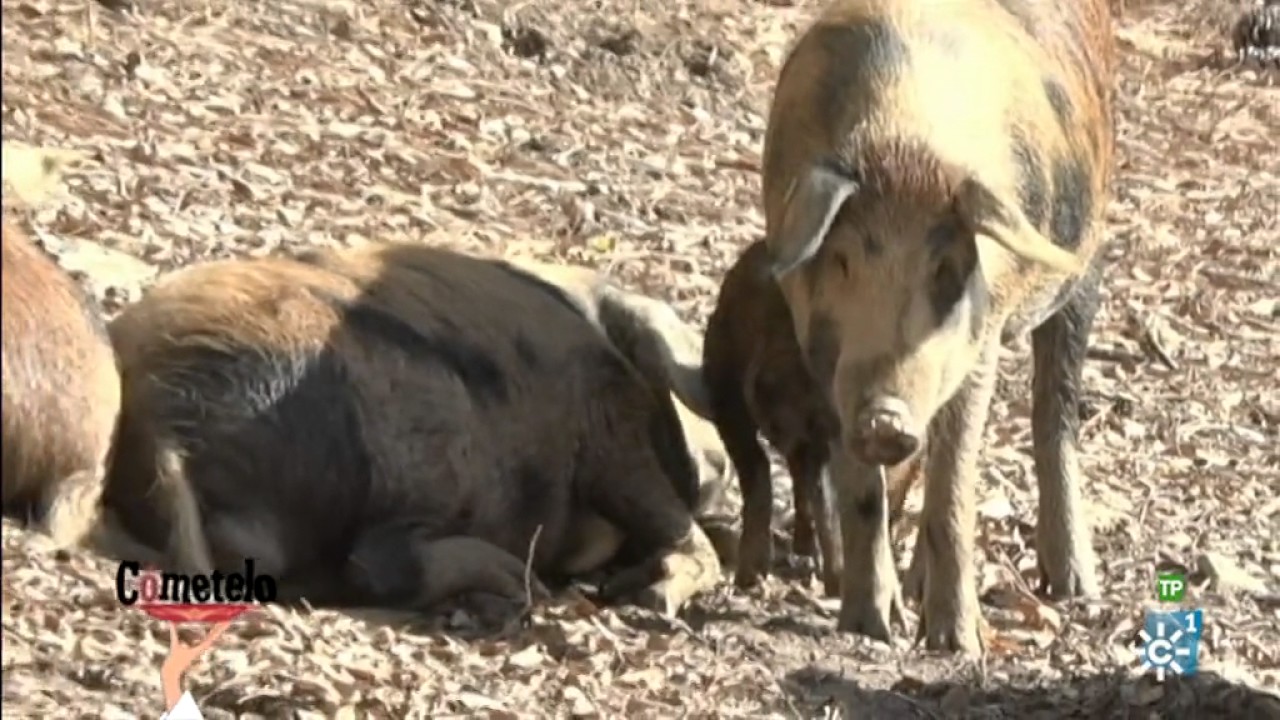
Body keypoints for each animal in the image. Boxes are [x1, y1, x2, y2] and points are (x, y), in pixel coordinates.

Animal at [102, 241, 723, 617]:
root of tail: (162, 418)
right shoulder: (606, 418)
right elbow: (680, 528)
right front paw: (649, 597)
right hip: (420, 436)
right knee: (371, 561)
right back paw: (529, 585)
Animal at [760, 0, 1115, 653]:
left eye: (947, 271)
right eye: (842, 260)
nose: (885, 417)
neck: (904, 144)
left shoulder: (983, 337)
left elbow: (955, 481)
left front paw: (956, 644)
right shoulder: (822, 351)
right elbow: (863, 487)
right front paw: (870, 626)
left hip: (1085, 267)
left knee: (1054, 410)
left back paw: (1073, 588)